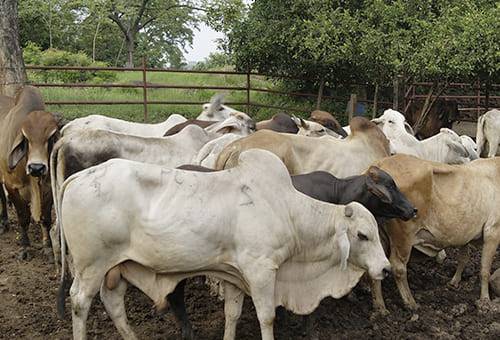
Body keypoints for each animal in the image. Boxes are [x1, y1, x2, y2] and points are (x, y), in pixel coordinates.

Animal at [0, 85, 59, 260]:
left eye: (51, 137)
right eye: (26, 138)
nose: (36, 168)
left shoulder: (48, 188)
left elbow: (45, 219)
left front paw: (47, 247)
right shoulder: (12, 186)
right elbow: (23, 218)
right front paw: (24, 247)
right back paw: (3, 222)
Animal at [57, 149, 390, 340]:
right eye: (363, 235)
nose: (385, 269)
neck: (287, 209)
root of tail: (78, 177)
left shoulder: (234, 273)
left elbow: (232, 314)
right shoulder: (261, 270)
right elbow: (266, 317)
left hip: (119, 266)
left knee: (113, 303)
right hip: (91, 265)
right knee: (80, 301)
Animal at [372, 154, 500, 314]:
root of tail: (380, 164)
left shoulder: (466, 234)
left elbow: (463, 258)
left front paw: (454, 282)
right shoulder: (493, 231)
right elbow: (485, 269)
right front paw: (485, 301)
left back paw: (380, 307)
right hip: (403, 235)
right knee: (398, 267)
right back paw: (411, 303)